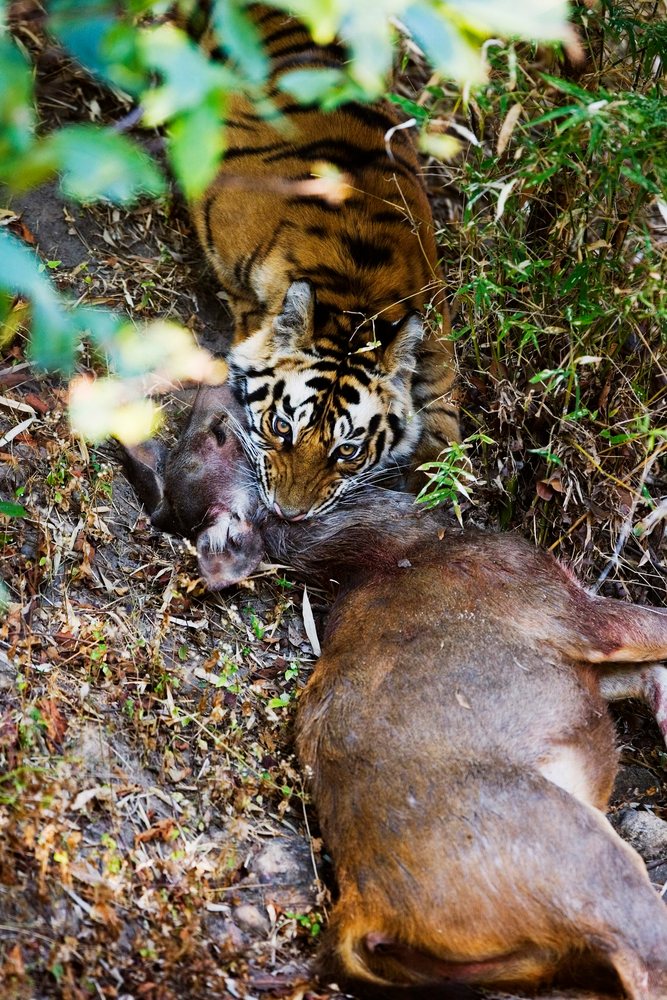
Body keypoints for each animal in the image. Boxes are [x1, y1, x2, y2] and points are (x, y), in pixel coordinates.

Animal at [121, 383, 667, 1000]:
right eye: (220, 431)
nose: (210, 385)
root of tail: (361, 912)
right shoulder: (571, 610)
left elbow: (651, 674)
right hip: (595, 874)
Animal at [190, 2, 459, 521]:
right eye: (280, 426)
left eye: (347, 450)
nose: (288, 514)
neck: (356, 295)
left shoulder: (437, 330)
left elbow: (445, 412)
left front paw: (438, 482)